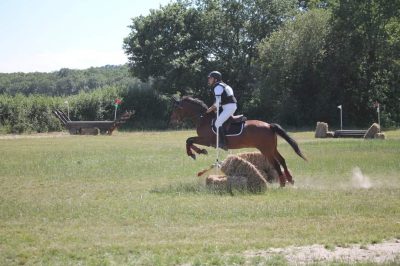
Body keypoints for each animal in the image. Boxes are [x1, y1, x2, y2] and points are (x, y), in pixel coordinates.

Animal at [170, 96, 308, 187]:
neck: (203, 118)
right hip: (272, 148)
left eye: (176, 109)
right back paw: (290, 180)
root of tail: (269, 125)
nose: (172, 120)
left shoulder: (207, 140)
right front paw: (198, 152)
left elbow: (189, 141)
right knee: (282, 160)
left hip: (266, 150)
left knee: (276, 164)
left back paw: (283, 183)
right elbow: (189, 141)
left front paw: (196, 152)